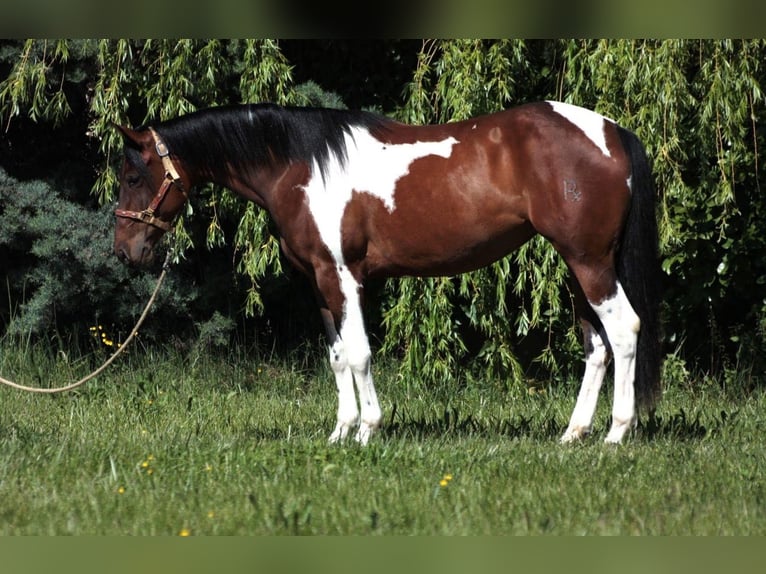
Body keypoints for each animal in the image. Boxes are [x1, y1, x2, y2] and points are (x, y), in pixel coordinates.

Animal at [113, 100, 662, 445]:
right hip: (580, 264)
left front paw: (367, 431)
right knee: (596, 345)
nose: (124, 251)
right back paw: (573, 434)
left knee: (625, 330)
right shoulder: (318, 283)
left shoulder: (341, 276)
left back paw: (617, 433)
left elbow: (358, 354)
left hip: (589, 260)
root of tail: (611, 131)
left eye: (134, 176)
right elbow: (337, 358)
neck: (301, 167)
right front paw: (339, 432)